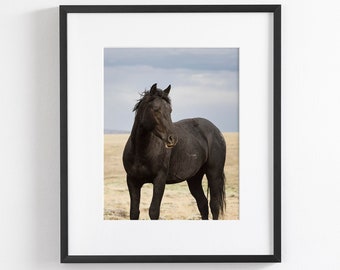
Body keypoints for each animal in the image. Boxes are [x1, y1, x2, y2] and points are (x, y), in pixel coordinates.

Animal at [122, 83, 226, 219]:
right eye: (156, 109)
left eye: (170, 110)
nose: (173, 138)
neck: (141, 152)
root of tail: (216, 130)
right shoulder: (132, 181)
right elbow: (134, 212)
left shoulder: (159, 180)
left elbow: (154, 211)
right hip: (194, 178)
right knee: (202, 204)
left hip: (214, 174)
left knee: (214, 205)